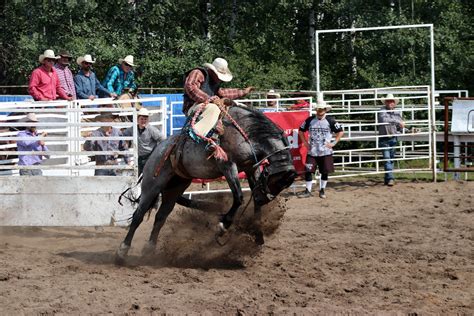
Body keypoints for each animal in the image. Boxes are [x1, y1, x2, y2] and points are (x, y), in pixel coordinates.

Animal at [115, 102, 296, 262]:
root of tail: (157, 150)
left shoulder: (251, 167)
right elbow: (238, 197)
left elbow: (255, 203)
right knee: (138, 215)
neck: (246, 132)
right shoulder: (227, 165)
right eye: (275, 181)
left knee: (161, 217)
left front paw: (258, 233)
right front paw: (222, 226)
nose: (264, 197)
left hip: (176, 186)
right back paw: (122, 251)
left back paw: (149, 249)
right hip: (153, 184)